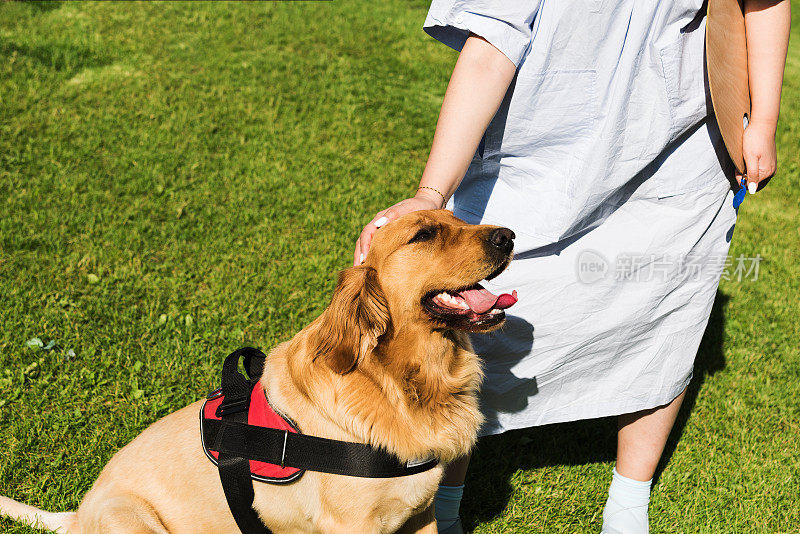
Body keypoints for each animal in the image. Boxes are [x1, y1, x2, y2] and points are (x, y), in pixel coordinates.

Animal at [0, 211, 516, 532]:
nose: (507, 236)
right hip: (132, 518)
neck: (406, 383)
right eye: (424, 234)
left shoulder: (421, 514)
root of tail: (78, 515)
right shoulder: (351, 525)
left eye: (460, 220)